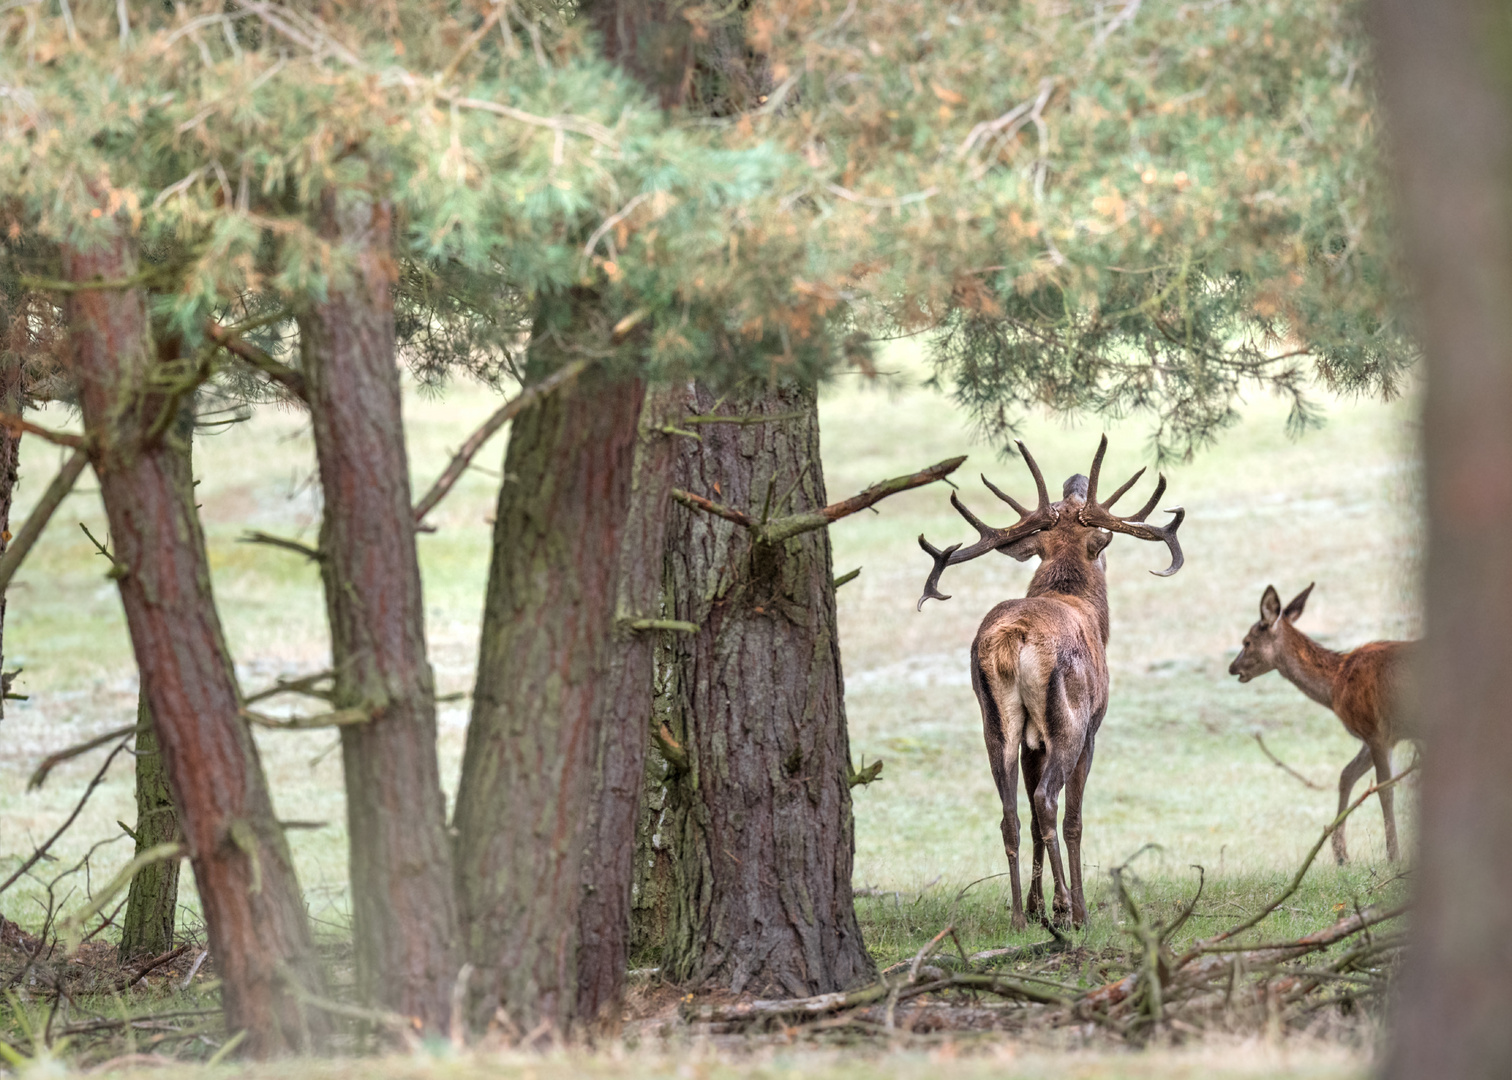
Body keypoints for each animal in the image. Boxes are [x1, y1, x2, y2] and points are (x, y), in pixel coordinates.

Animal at [913, 435, 1185, 925]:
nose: (1073, 481)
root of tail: (1014, 637)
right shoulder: (1092, 726)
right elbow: (1073, 818)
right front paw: (1068, 905)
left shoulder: (1030, 741)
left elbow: (1032, 816)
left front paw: (1038, 906)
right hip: (1067, 720)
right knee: (1047, 802)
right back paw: (1070, 910)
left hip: (996, 722)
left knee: (1011, 812)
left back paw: (1019, 916)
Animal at [1227, 583, 1415, 865]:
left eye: (1246, 642)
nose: (1232, 667)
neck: (1336, 684)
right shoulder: (1382, 736)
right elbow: (1346, 775)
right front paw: (1341, 855)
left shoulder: (1375, 729)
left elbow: (1385, 788)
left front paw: (1393, 856)